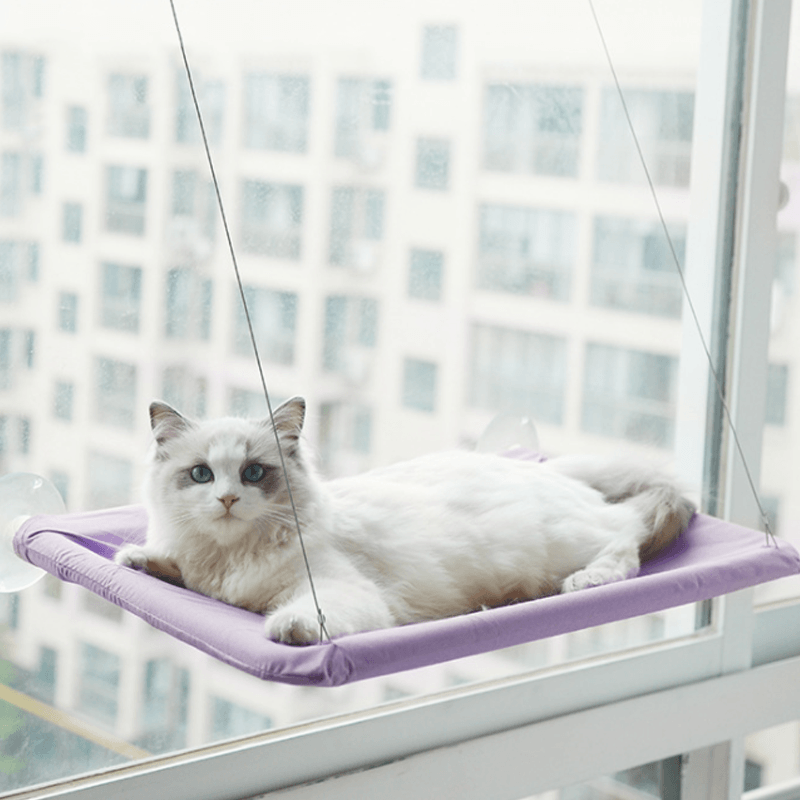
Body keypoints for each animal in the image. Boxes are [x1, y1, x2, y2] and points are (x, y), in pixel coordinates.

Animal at [114, 396, 692, 648]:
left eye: (254, 472)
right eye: (202, 474)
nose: (229, 499)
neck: (231, 556)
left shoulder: (340, 591)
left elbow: (305, 614)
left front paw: (289, 629)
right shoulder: (204, 574)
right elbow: (175, 568)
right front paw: (138, 559)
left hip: (568, 540)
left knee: (627, 538)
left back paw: (587, 580)